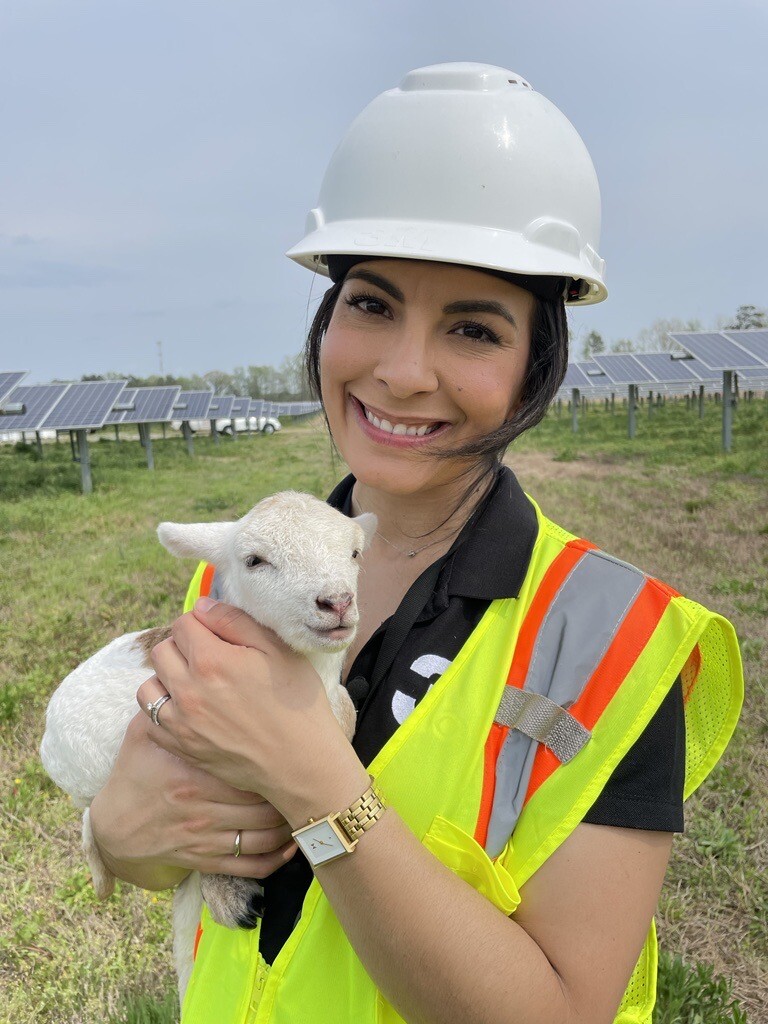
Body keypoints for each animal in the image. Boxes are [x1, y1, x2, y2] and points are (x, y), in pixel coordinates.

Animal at [40, 491, 376, 997]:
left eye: (355, 553)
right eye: (254, 560)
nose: (336, 603)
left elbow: (345, 709)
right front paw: (226, 888)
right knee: (92, 821)